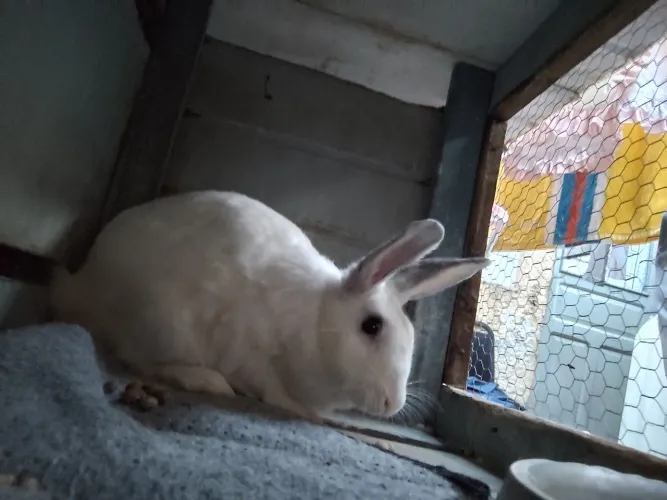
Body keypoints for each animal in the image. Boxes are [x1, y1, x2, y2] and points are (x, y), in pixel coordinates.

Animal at [51, 190, 490, 421]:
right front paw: (302, 411)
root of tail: (83, 282)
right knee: (140, 358)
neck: (315, 323)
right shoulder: (251, 354)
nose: (391, 405)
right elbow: (271, 389)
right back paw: (208, 381)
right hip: (161, 324)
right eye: (371, 326)